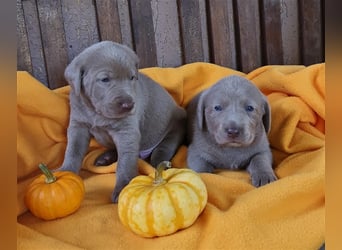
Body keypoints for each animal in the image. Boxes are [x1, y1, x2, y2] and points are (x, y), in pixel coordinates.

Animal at [59, 40, 187, 201]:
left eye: (132, 77)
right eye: (105, 79)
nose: (128, 105)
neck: (96, 112)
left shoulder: (126, 132)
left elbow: (125, 162)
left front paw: (122, 188)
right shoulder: (78, 125)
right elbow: (73, 150)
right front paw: (66, 172)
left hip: (174, 130)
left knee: (163, 149)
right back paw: (105, 158)